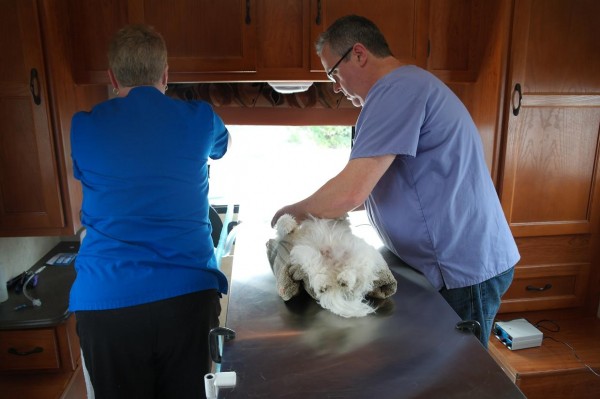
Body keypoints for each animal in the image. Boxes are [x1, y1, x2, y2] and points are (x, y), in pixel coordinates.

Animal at [268, 216, 398, 318]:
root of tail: (334, 269)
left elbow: (283, 219)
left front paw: (288, 225)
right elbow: (282, 222)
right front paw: (287, 226)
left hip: (360, 256)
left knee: (353, 271)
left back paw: (344, 280)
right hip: (307, 255)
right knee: (319, 272)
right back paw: (325, 284)